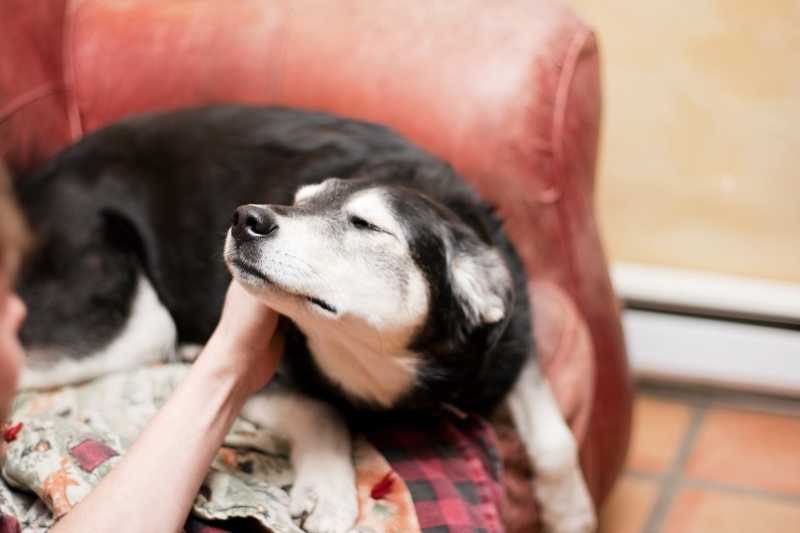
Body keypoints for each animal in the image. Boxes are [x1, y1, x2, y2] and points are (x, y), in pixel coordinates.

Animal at [15, 105, 596, 532]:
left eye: (366, 225)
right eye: (297, 202)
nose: (245, 218)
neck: (385, 368)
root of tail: (29, 186)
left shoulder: (510, 347)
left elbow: (555, 440)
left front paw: (570, 511)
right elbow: (325, 410)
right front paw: (329, 489)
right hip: (132, 324)